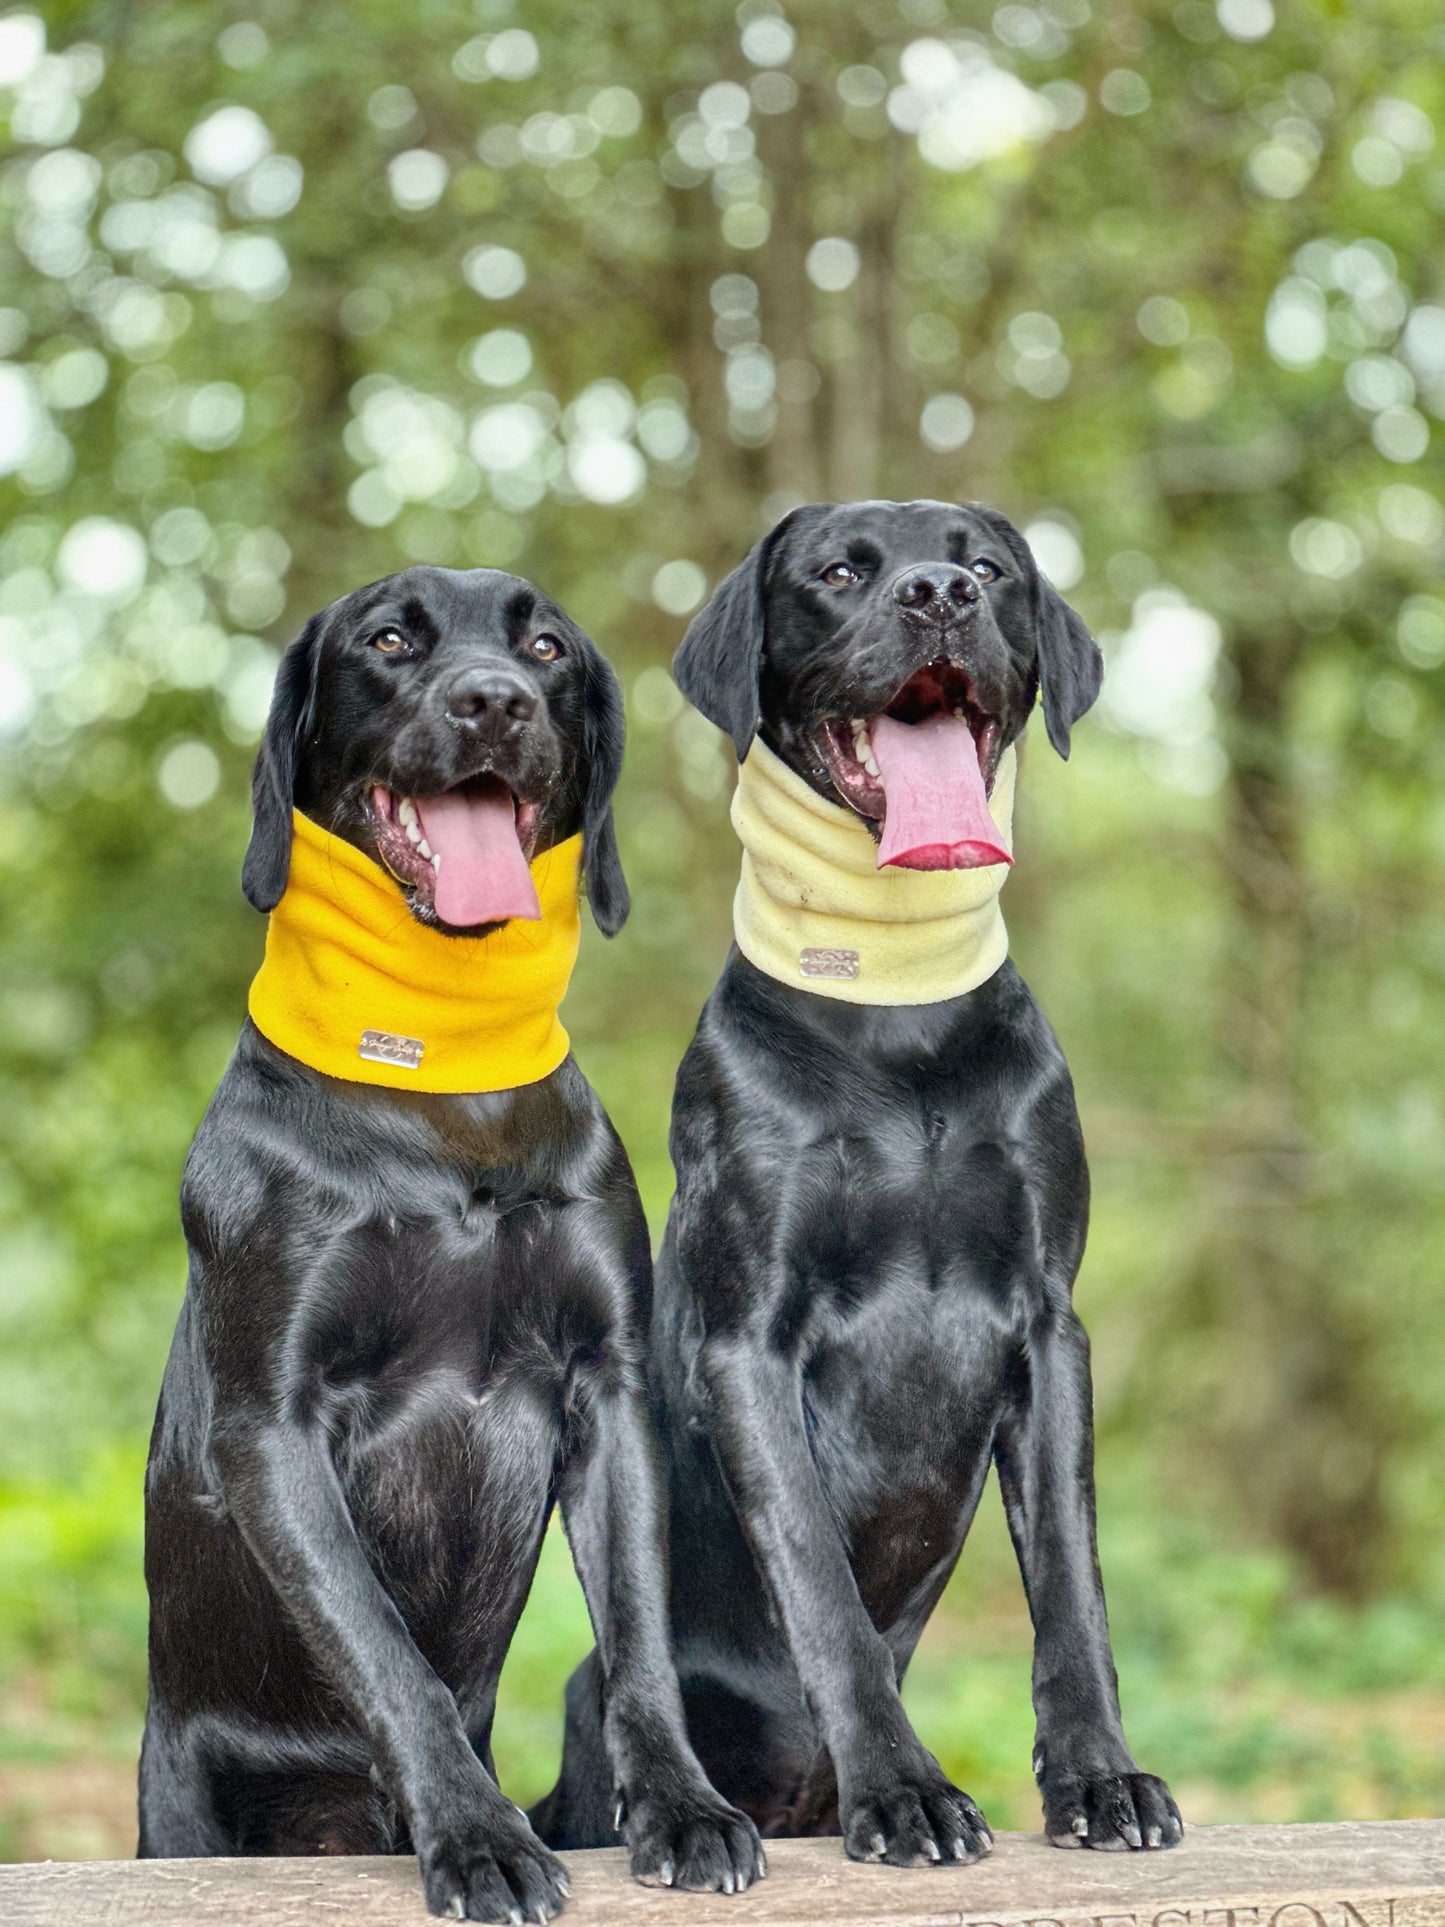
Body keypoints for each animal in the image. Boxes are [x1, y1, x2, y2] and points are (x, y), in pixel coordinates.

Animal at [139, 562, 762, 1919]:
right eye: (387, 640)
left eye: (545, 649)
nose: (493, 703)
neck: (443, 1085)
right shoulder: (273, 1427)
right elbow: (386, 1649)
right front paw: (478, 1838)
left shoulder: (605, 1384)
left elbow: (638, 1636)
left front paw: (683, 1809)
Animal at [543, 497, 1186, 1865]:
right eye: (840, 570)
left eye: (988, 566)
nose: (940, 594)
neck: (901, 1022)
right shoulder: (750, 1340)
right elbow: (819, 1584)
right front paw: (904, 1791)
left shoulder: (1048, 1328)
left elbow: (1072, 1582)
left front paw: (1101, 1779)